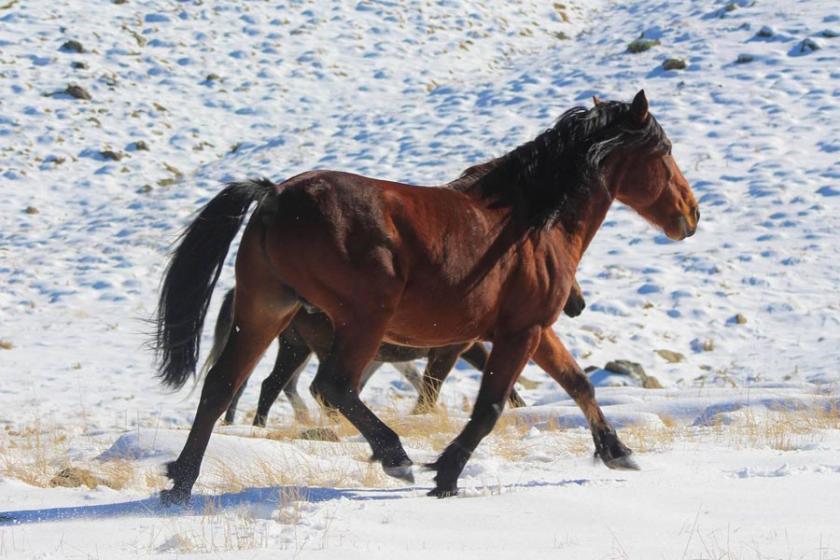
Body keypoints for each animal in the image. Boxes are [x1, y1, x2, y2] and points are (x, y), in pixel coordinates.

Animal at [154, 91, 700, 504]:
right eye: (665, 150)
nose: (691, 215)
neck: (532, 224)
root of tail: (274, 197)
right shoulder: (514, 334)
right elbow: (489, 407)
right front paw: (446, 475)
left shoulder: (533, 331)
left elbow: (579, 384)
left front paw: (617, 451)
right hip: (361, 319)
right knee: (331, 386)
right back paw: (395, 457)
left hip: (266, 312)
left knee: (221, 386)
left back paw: (180, 485)